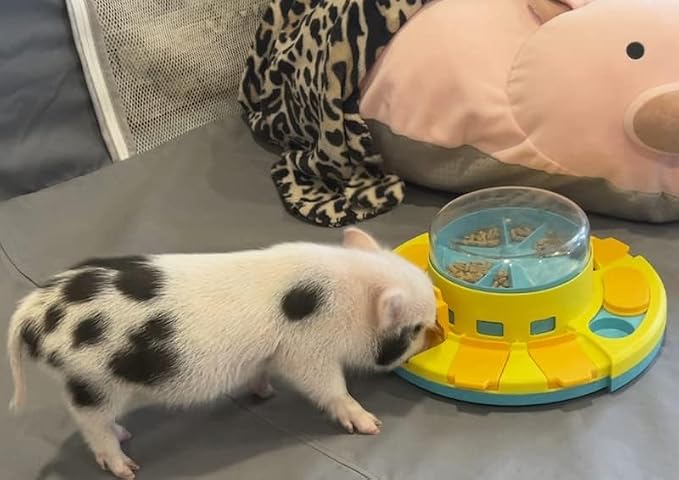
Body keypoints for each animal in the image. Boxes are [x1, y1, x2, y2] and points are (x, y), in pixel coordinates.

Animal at [7, 228, 437, 480]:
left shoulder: (269, 355)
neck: (346, 297)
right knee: (89, 423)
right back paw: (127, 466)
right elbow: (329, 387)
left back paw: (125, 434)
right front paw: (371, 424)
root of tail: (32, 310)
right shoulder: (307, 351)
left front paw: (264, 394)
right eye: (415, 329)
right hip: (93, 381)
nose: (437, 333)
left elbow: (261, 373)